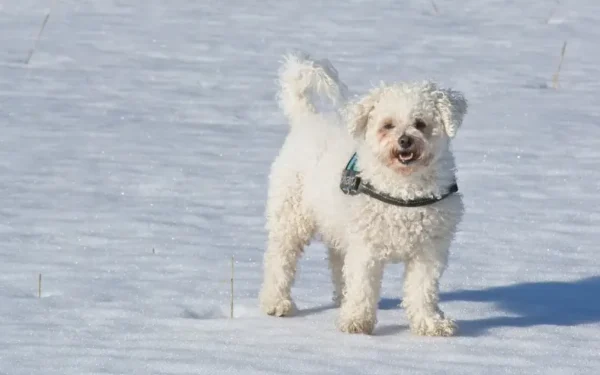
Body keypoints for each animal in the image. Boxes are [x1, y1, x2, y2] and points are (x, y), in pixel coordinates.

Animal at [258, 51, 468, 336]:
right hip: (291, 217)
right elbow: (362, 285)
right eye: (387, 125)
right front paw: (357, 321)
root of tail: (308, 119)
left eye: (421, 123)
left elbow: (422, 290)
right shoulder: (366, 248)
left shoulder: (428, 251)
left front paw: (430, 323)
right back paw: (276, 302)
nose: (405, 141)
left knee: (337, 262)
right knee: (280, 259)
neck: (404, 190)